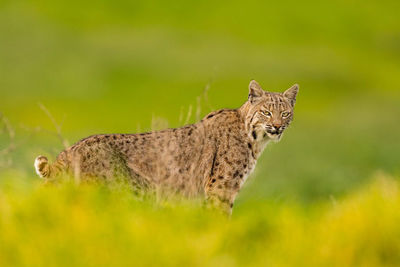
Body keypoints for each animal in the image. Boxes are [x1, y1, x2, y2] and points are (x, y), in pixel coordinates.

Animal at [34, 80, 298, 215]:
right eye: (266, 112)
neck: (254, 137)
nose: (277, 127)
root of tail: (70, 150)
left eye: (285, 114)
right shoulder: (221, 188)